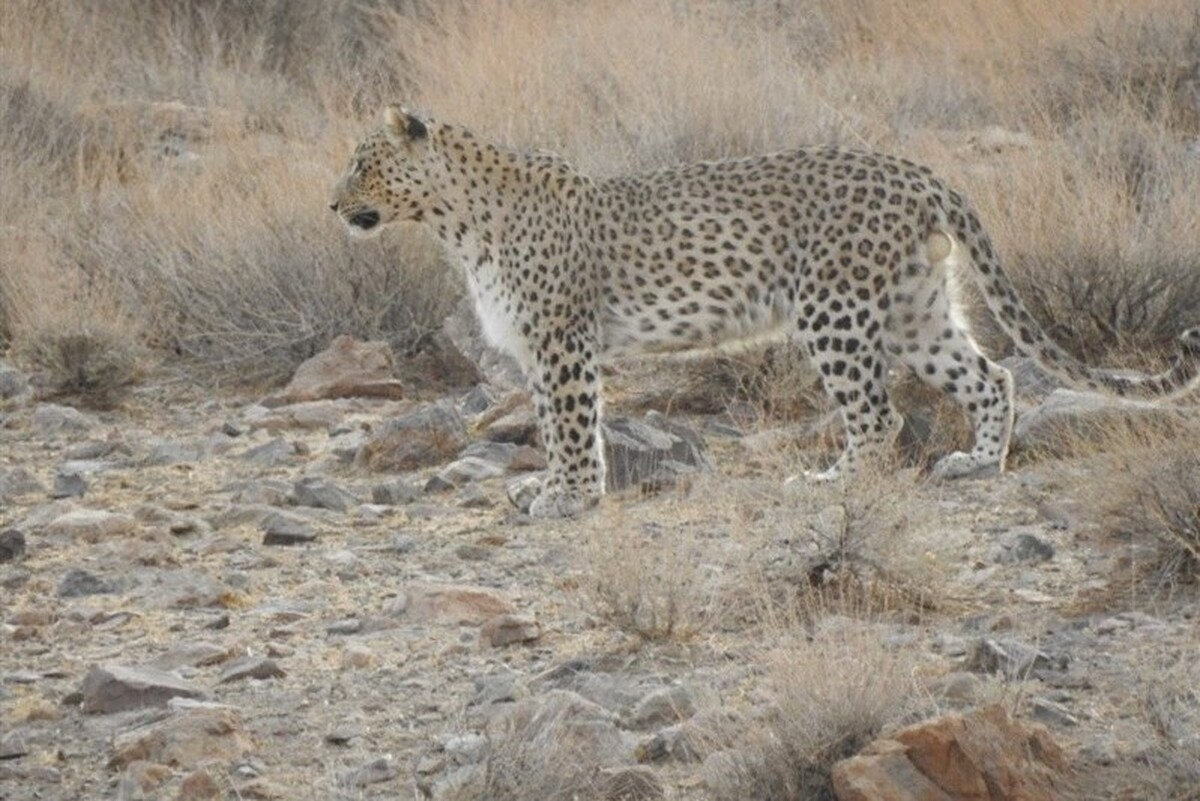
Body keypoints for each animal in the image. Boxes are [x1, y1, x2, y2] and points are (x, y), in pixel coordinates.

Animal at [333, 106, 1200, 515]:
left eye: (362, 163)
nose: (332, 204)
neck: (452, 221)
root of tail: (917, 170)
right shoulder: (538, 349)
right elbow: (552, 423)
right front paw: (557, 490)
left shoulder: (561, 340)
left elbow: (572, 425)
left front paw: (568, 497)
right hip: (916, 310)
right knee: (991, 377)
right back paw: (978, 461)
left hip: (833, 308)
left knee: (878, 413)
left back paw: (834, 484)